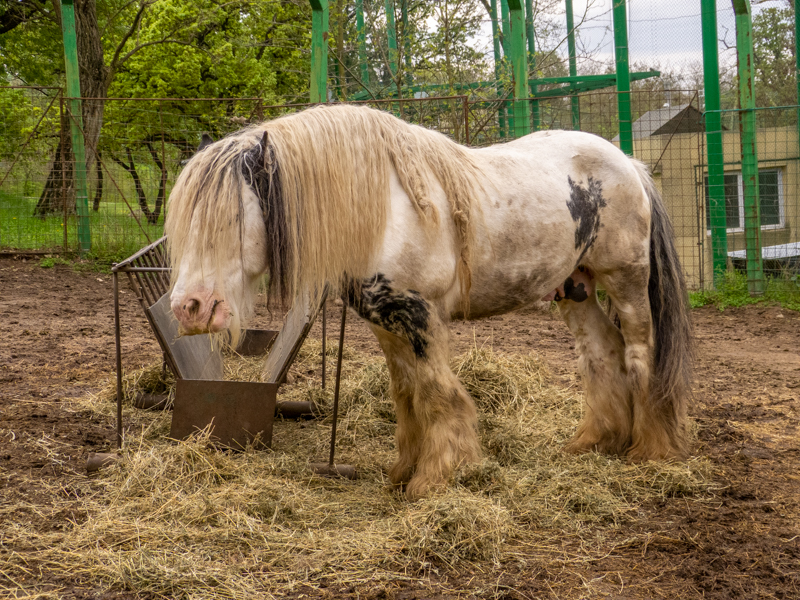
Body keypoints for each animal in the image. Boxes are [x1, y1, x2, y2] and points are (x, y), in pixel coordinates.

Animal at [165, 104, 692, 500]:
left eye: (232, 219)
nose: (189, 309)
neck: (380, 210)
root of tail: (630, 164)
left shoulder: (419, 317)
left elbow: (439, 394)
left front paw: (437, 477)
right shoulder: (385, 321)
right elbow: (407, 394)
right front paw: (404, 472)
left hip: (626, 280)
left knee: (640, 353)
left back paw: (651, 449)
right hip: (574, 287)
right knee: (602, 353)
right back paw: (596, 441)